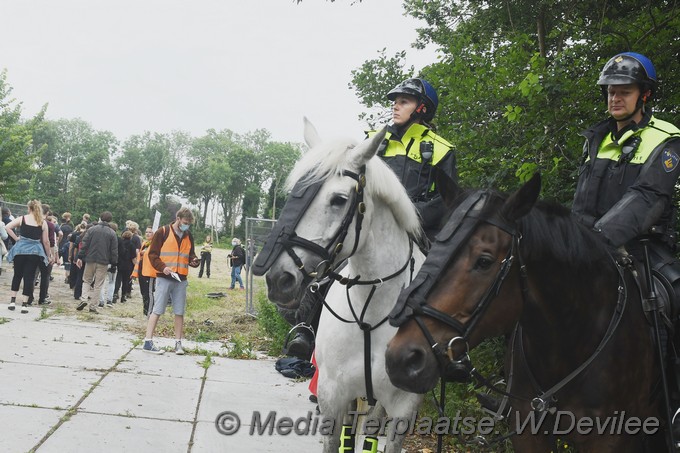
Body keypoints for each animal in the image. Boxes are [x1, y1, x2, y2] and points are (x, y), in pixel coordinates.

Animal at [256, 118, 424, 450]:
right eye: (295, 194)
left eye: (338, 200)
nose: (279, 279)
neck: (371, 312)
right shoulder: (333, 395)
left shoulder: (402, 407)